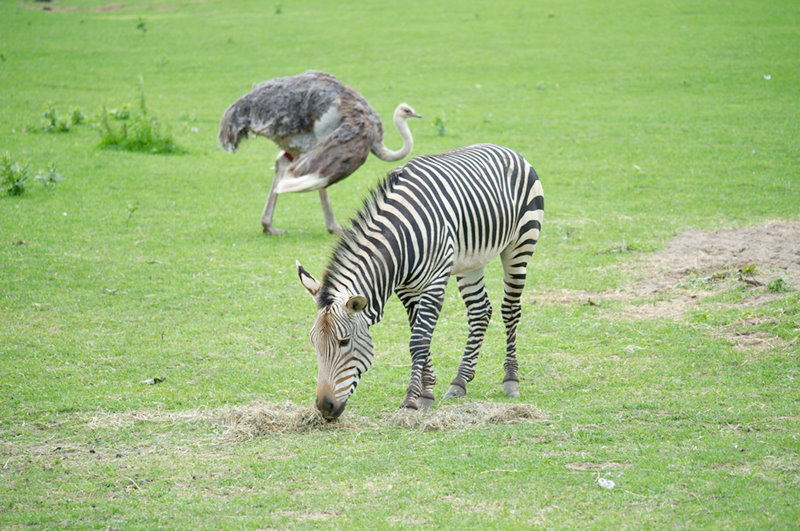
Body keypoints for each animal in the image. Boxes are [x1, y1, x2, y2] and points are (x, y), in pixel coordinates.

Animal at [296, 142, 544, 420]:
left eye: (344, 342)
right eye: (313, 342)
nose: (324, 407)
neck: (399, 242)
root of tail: (505, 149)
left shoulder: (434, 283)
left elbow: (419, 341)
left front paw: (411, 400)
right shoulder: (406, 290)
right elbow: (420, 336)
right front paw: (426, 393)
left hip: (520, 245)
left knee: (510, 309)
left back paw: (510, 379)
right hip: (471, 261)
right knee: (480, 311)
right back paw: (460, 381)